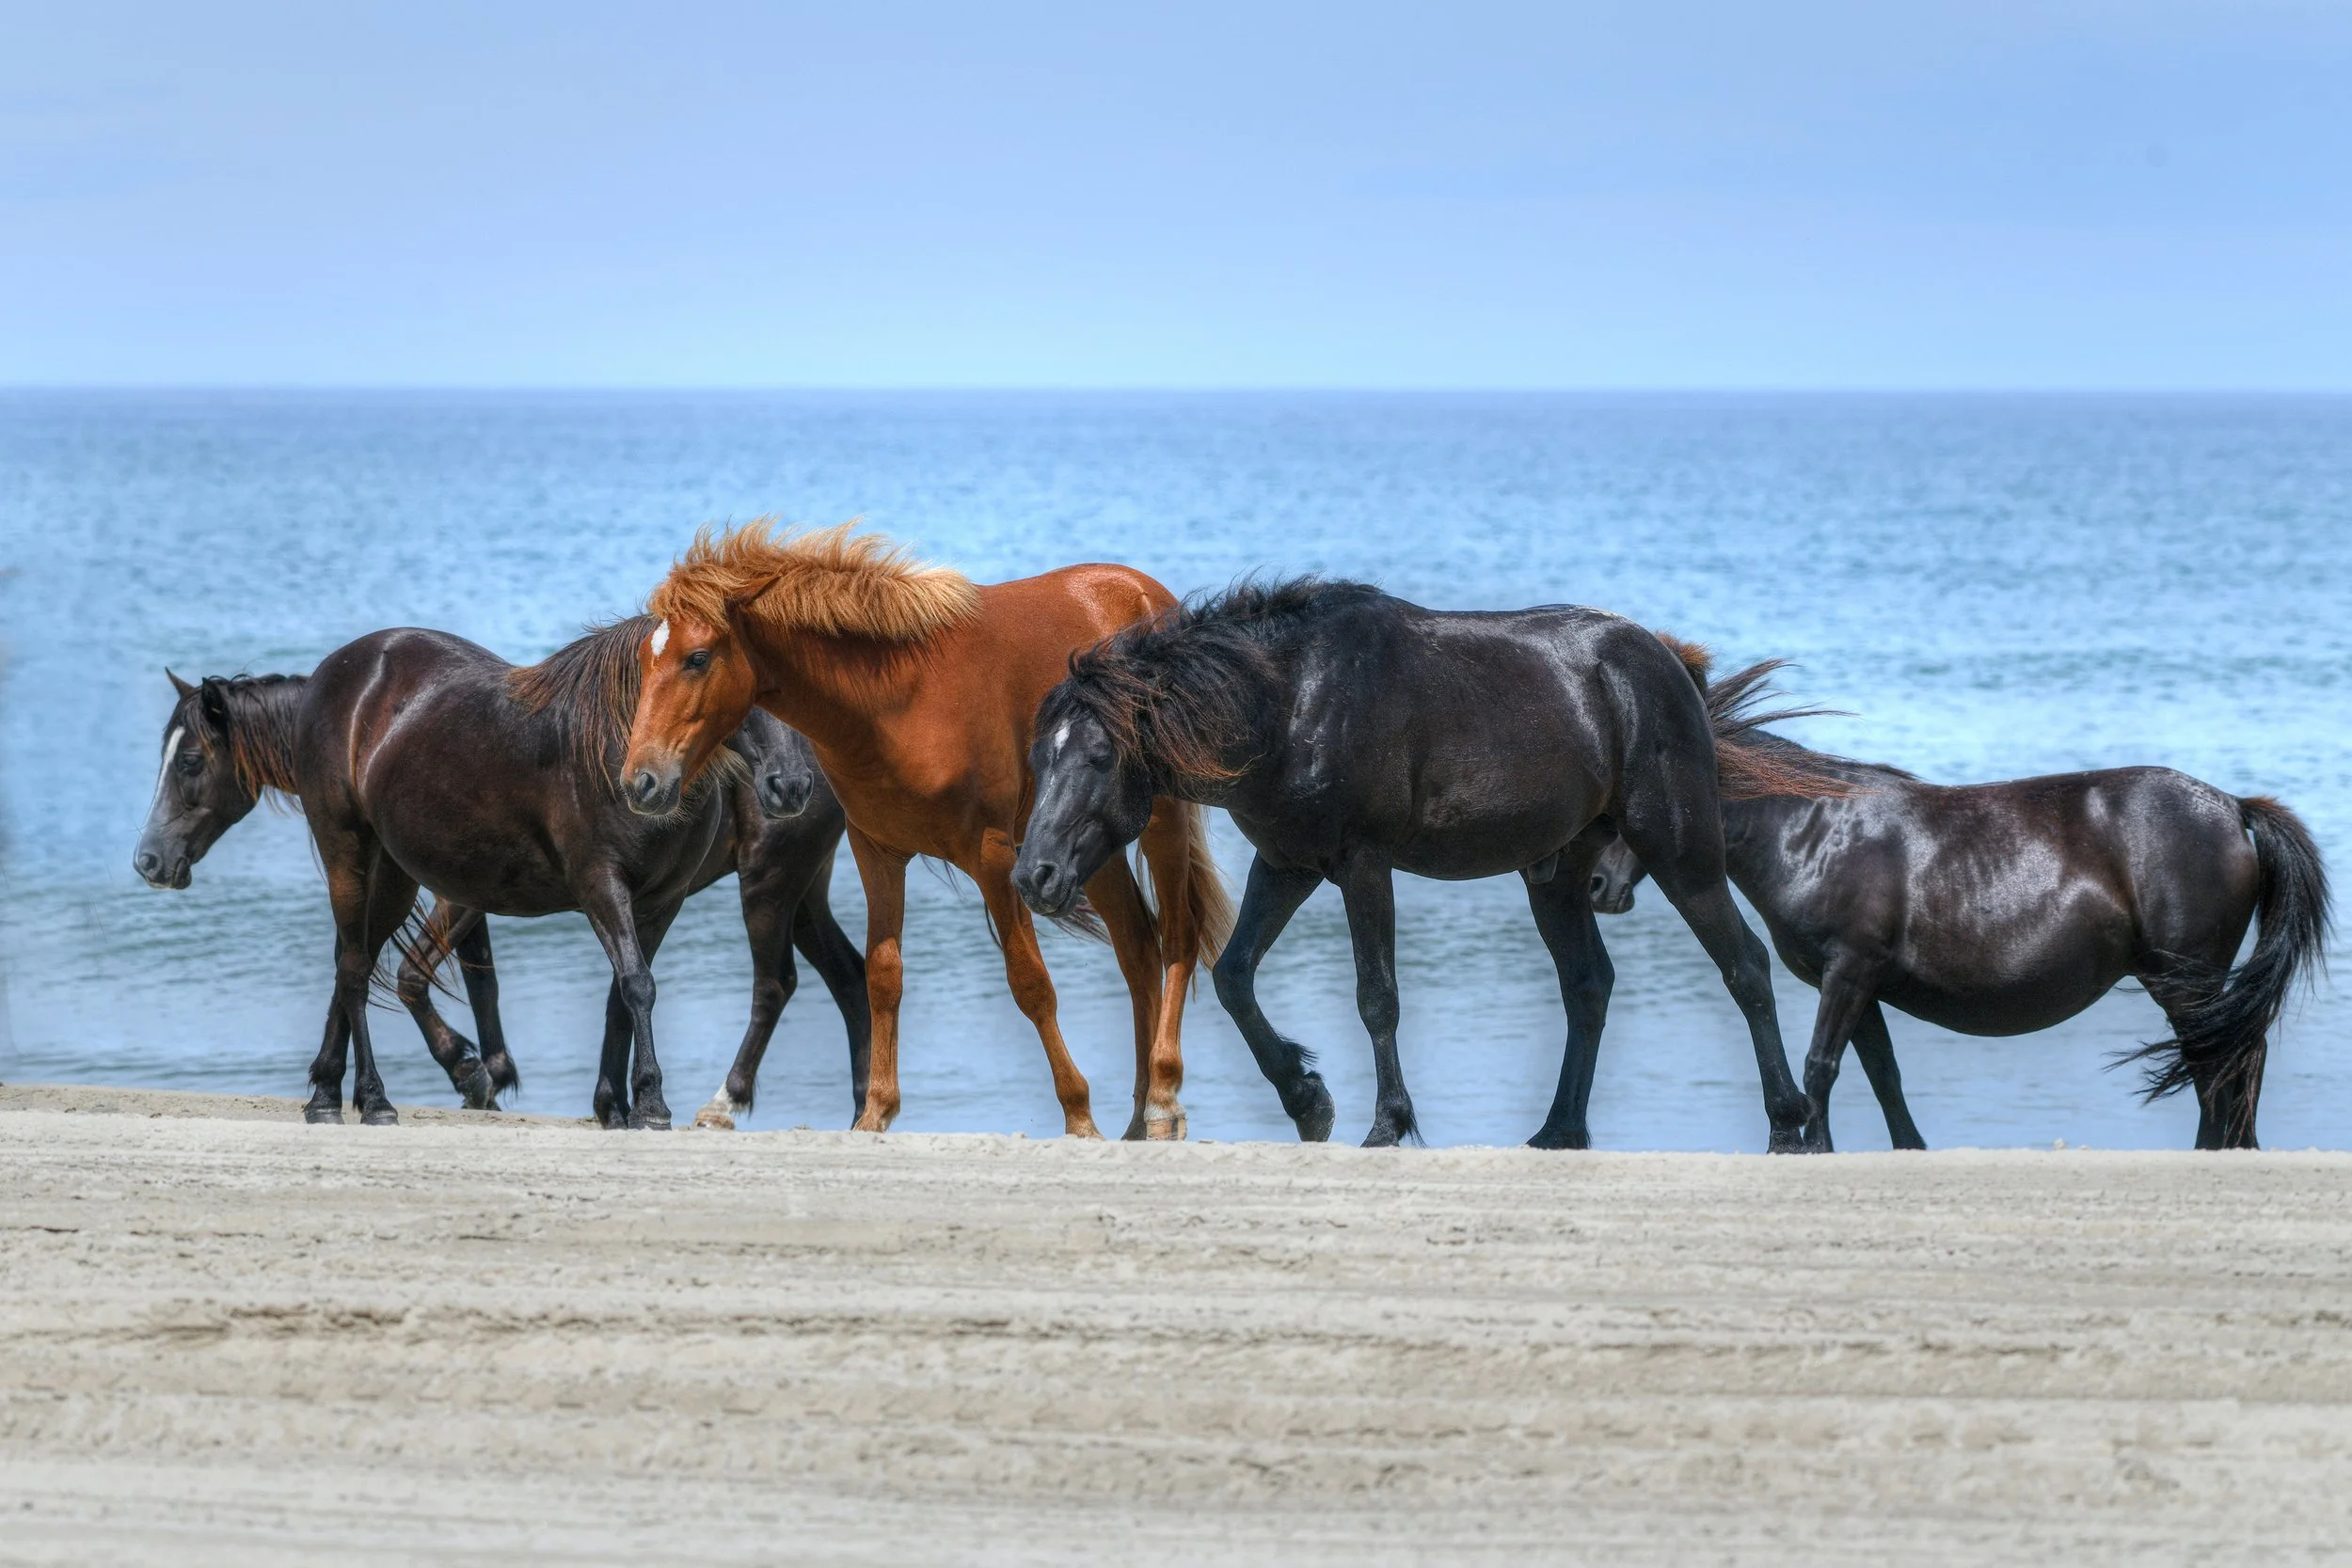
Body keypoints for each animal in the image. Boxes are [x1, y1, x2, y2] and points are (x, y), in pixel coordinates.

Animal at [133, 616, 869, 1128]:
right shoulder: (590, 886)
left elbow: (621, 989)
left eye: (190, 760)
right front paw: (627, 1101)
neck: (617, 745)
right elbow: (612, 985)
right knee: (353, 964)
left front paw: (614, 1100)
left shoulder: (653, 900)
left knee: (790, 982)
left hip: (774, 880)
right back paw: (363, 1098)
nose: (149, 859)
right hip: (359, 853)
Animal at [618, 521, 1233, 1140]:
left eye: (697, 658)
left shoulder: (992, 858)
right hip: (1091, 844)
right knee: (1138, 949)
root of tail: (1150, 595)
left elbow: (1031, 983)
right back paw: (1139, 1118)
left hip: (1160, 821)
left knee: (1177, 937)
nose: (642, 781)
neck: (898, 702)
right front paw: (875, 1112)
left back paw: (1162, 1103)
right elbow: (883, 977)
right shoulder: (878, 852)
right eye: (644, 662)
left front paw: (1079, 1115)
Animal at [1012, 578, 1851, 1151]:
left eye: (1097, 757)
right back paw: (1558, 1130)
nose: (1033, 877)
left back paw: (1786, 1125)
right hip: (1556, 873)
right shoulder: (1286, 864)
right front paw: (1307, 1099)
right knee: (1589, 985)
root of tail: (1665, 665)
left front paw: (1387, 1122)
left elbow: (1377, 996)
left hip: (1679, 851)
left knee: (1744, 967)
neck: (1289, 700)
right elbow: (1235, 976)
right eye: (1037, 757)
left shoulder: (1362, 864)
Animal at [1589, 639, 2331, 1151]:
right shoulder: (1862, 984)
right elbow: (1882, 1074)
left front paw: (1811, 1147)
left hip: (2187, 977)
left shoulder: (1848, 970)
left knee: (2224, 1059)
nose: (1597, 884)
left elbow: (1821, 1066)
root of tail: (2233, 807)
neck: (1813, 829)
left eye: (1629, 803)